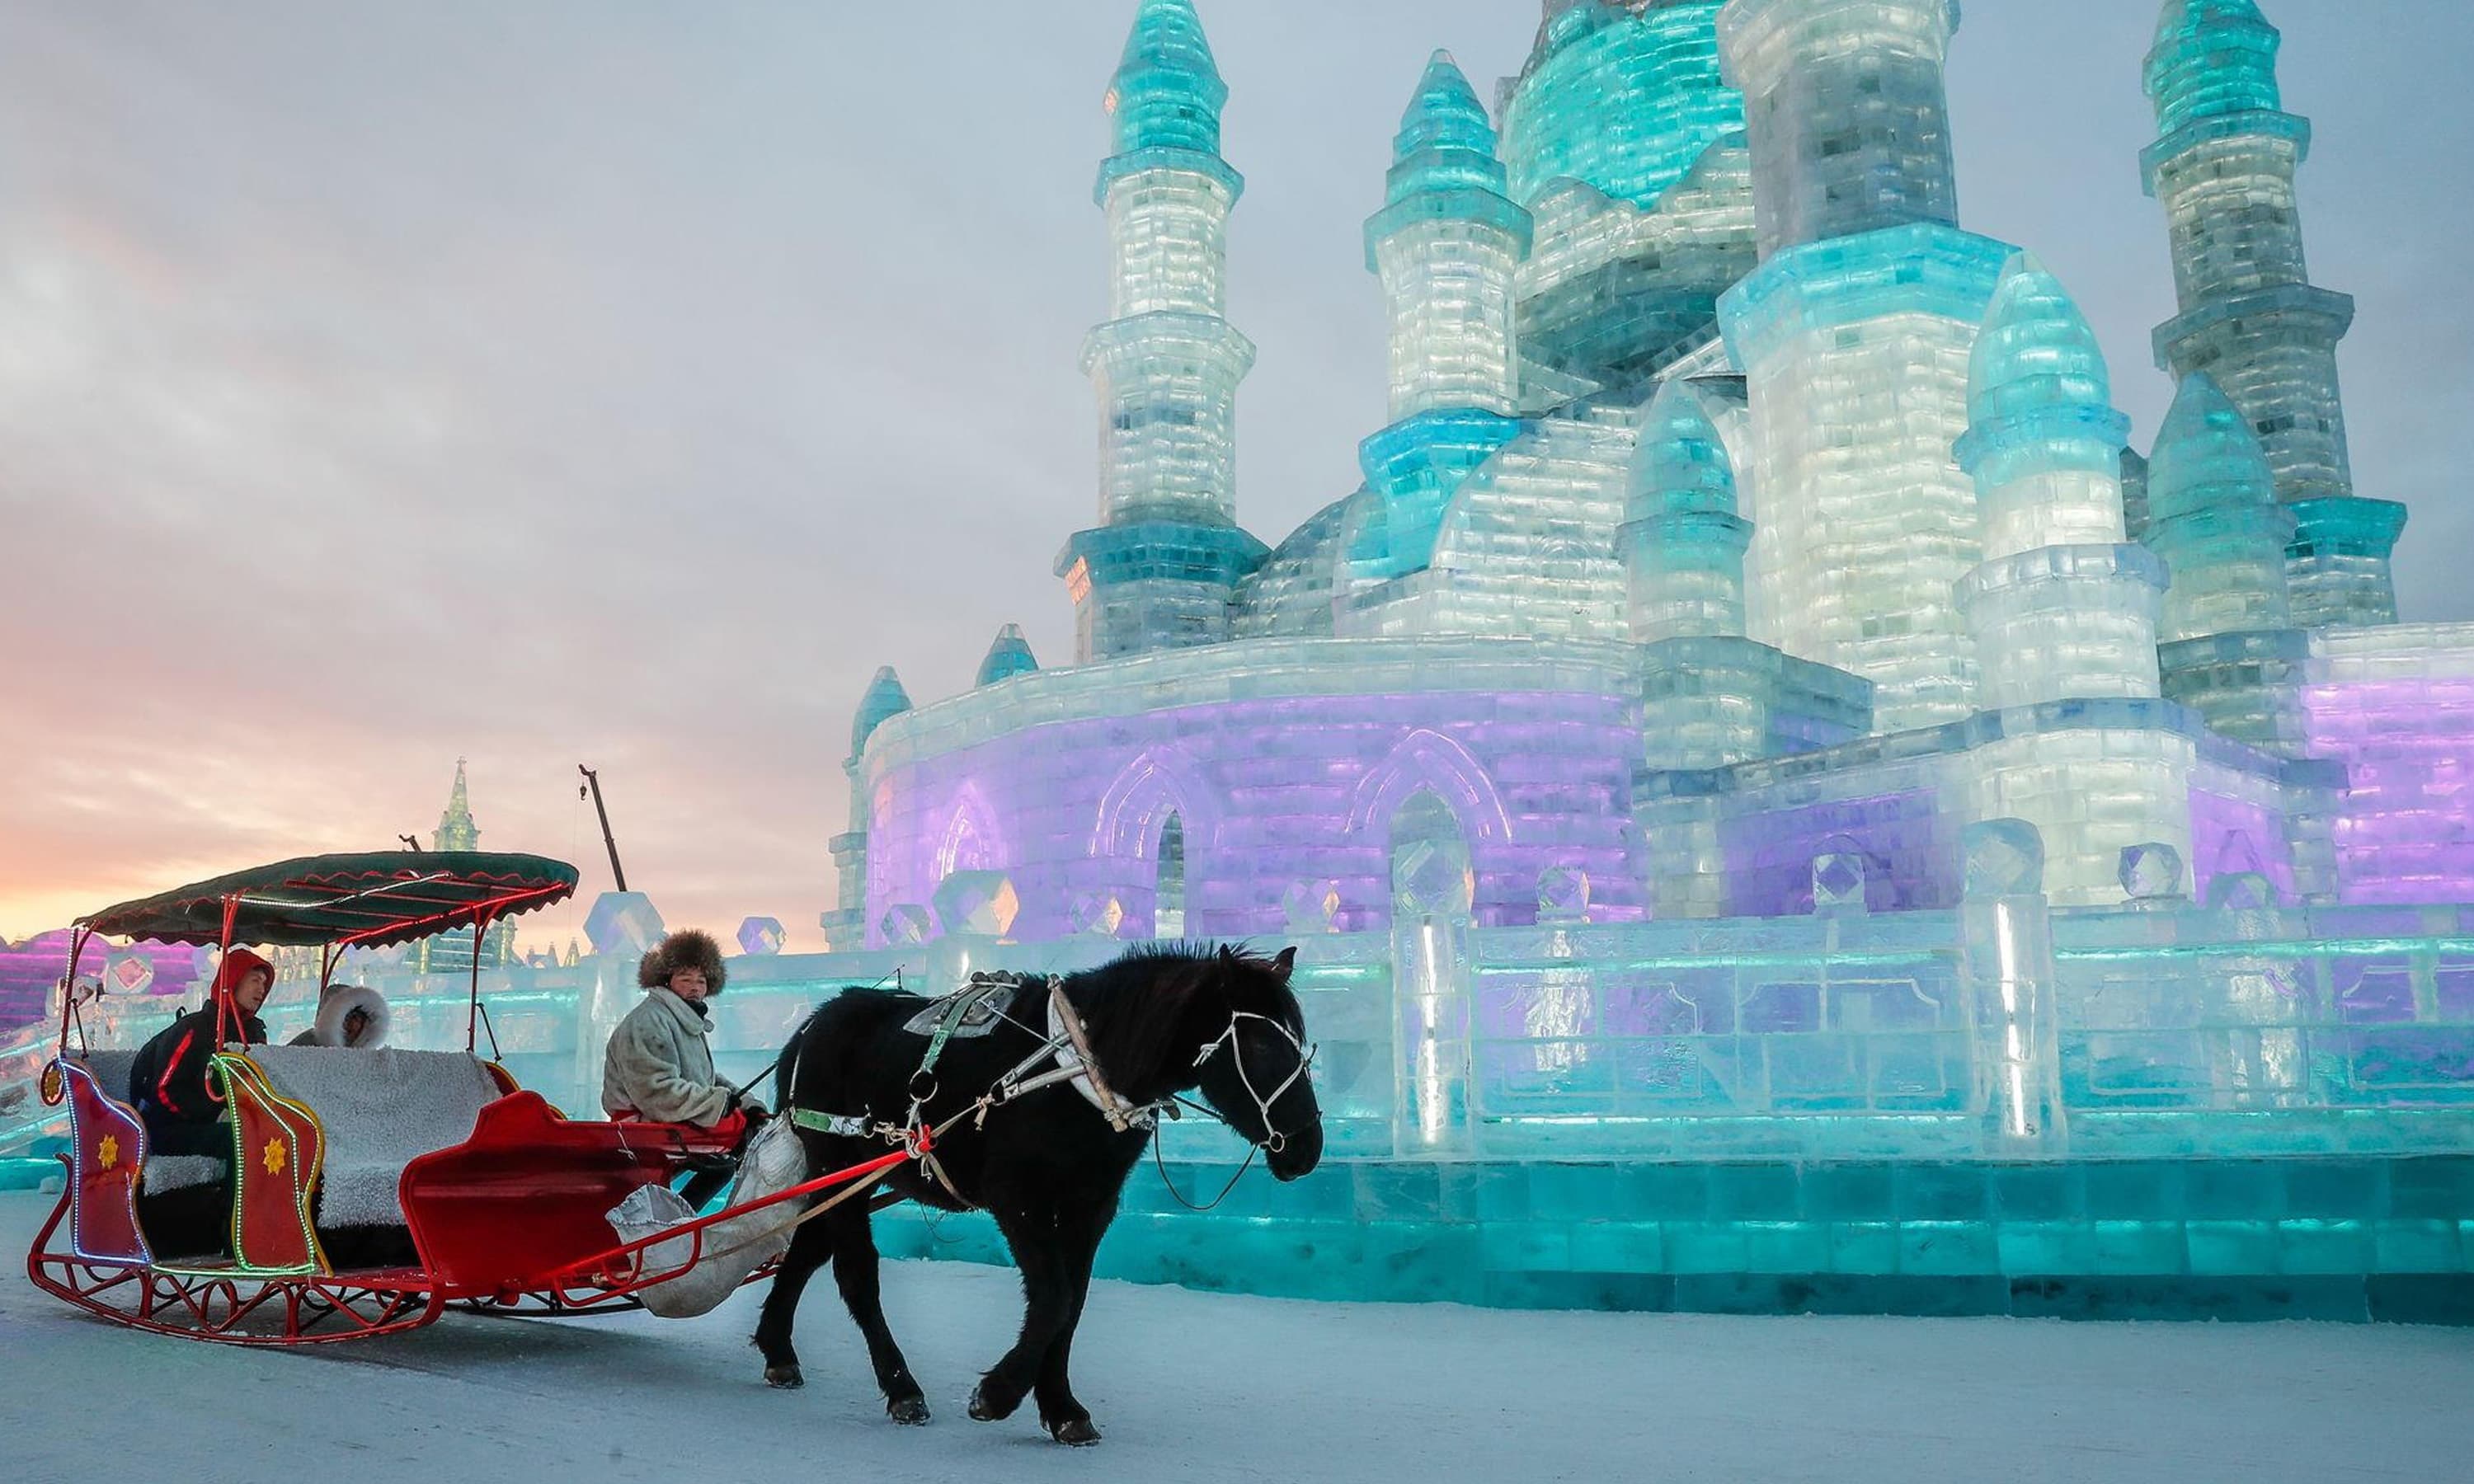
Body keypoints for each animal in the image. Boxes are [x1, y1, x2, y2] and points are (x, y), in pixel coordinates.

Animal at [752, 945, 1326, 1444]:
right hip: (838, 1166)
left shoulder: (1090, 1206)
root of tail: (810, 1026)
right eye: (1258, 1045)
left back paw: (778, 1348)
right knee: (855, 1274)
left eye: (1301, 1044)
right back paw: (901, 1387)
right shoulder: (1018, 1196)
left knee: (807, 1248)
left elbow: (1073, 1303)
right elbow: (1053, 1298)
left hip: (851, 1176)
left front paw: (1062, 1407)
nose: (1306, 1149)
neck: (1075, 1072)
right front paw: (999, 1393)